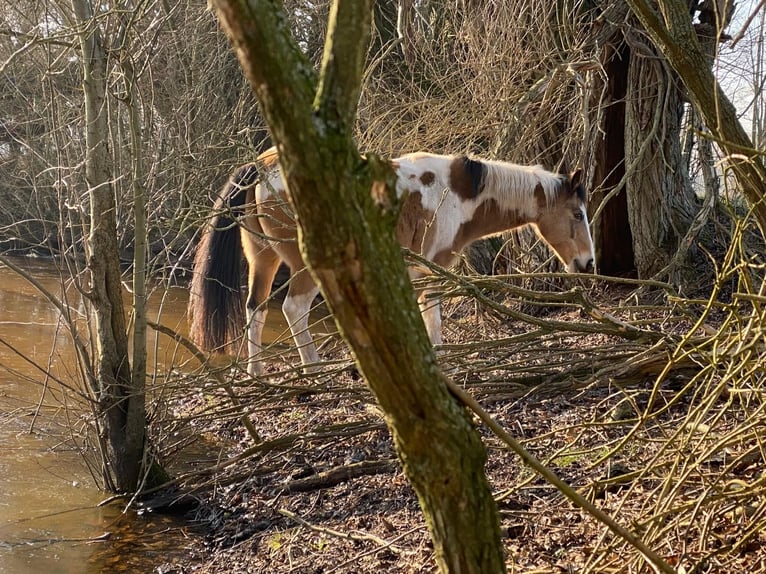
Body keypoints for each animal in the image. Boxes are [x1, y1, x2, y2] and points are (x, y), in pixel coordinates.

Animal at [189, 146, 596, 376]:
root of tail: (262, 167)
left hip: (263, 258)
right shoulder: (431, 266)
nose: (588, 263)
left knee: (255, 309)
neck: (459, 192)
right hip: (304, 267)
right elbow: (431, 314)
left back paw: (255, 373)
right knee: (293, 309)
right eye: (577, 214)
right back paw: (313, 370)